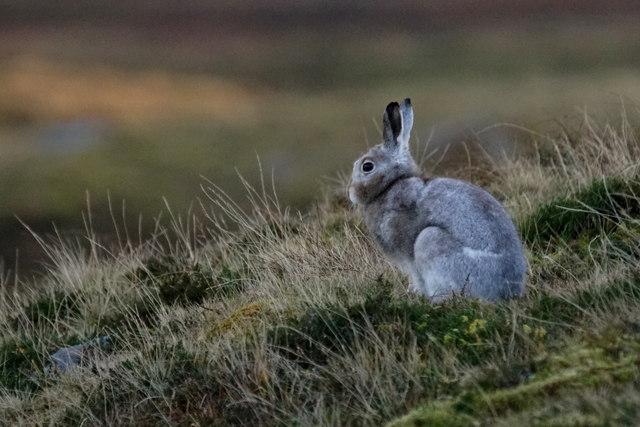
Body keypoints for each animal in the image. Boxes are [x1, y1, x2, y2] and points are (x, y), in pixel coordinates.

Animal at [348, 98, 527, 302]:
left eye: (367, 166)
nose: (350, 193)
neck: (392, 184)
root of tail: (508, 290)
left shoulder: (409, 254)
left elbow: (416, 275)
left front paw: (415, 294)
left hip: (431, 240)